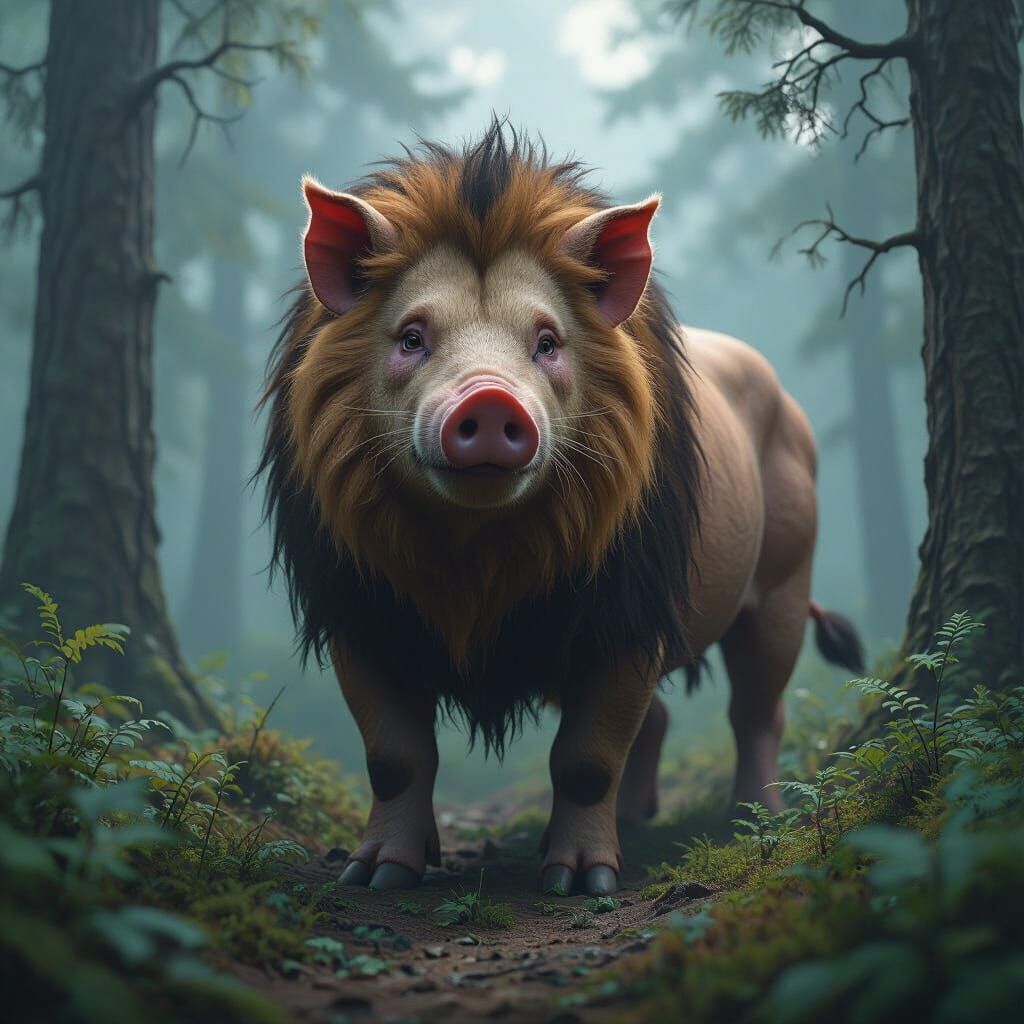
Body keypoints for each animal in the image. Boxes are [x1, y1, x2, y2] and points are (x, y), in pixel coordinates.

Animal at [257, 121, 863, 897]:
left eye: (546, 342)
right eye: (412, 336)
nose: (489, 398)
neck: (474, 562)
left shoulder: (630, 610)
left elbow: (585, 759)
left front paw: (582, 885)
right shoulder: (353, 611)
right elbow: (394, 757)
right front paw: (378, 875)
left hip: (788, 574)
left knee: (757, 709)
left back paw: (748, 820)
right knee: (662, 717)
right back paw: (637, 822)